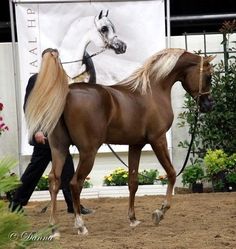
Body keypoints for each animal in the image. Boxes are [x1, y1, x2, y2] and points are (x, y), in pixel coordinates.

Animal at [24, 47, 215, 236]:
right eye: (208, 76)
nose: (209, 105)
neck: (152, 91)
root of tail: (67, 93)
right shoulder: (158, 139)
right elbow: (172, 173)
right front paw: (159, 212)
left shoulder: (136, 145)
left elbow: (133, 182)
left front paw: (133, 219)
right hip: (88, 152)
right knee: (74, 183)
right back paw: (80, 225)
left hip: (59, 148)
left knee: (54, 181)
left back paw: (54, 227)